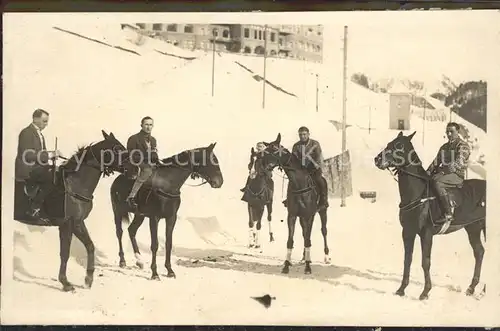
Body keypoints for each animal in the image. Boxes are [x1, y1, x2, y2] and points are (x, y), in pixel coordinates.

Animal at [14, 131, 133, 292]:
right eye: (116, 148)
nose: (135, 169)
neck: (76, 184)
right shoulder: (67, 224)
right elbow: (65, 253)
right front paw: (65, 282)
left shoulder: (78, 223)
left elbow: (90, 246)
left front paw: (88, 279)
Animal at [376, 132, 484, 300]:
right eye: (389, 143)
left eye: (399, 146)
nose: (377, 159)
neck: (417, 194)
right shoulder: (408, 232)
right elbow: (407, 260)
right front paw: (401, 289)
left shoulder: (426, 233)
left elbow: (425, 262)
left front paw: (425, 292)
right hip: (472, 228)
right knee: (479, 252)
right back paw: (471, 288)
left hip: (474, 227)